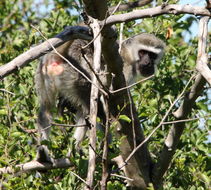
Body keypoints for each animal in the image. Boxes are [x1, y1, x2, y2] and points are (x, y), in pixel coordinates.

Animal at [35, 32, 166, 162]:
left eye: (152, 55)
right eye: (143, 52)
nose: (148, 63)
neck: (129, 55)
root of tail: (58, 56)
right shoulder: (124, 70)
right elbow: (105, 95)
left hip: (43, 74)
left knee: (46, 110)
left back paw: (50, 153)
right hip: (73, 74)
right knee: (96, 108)